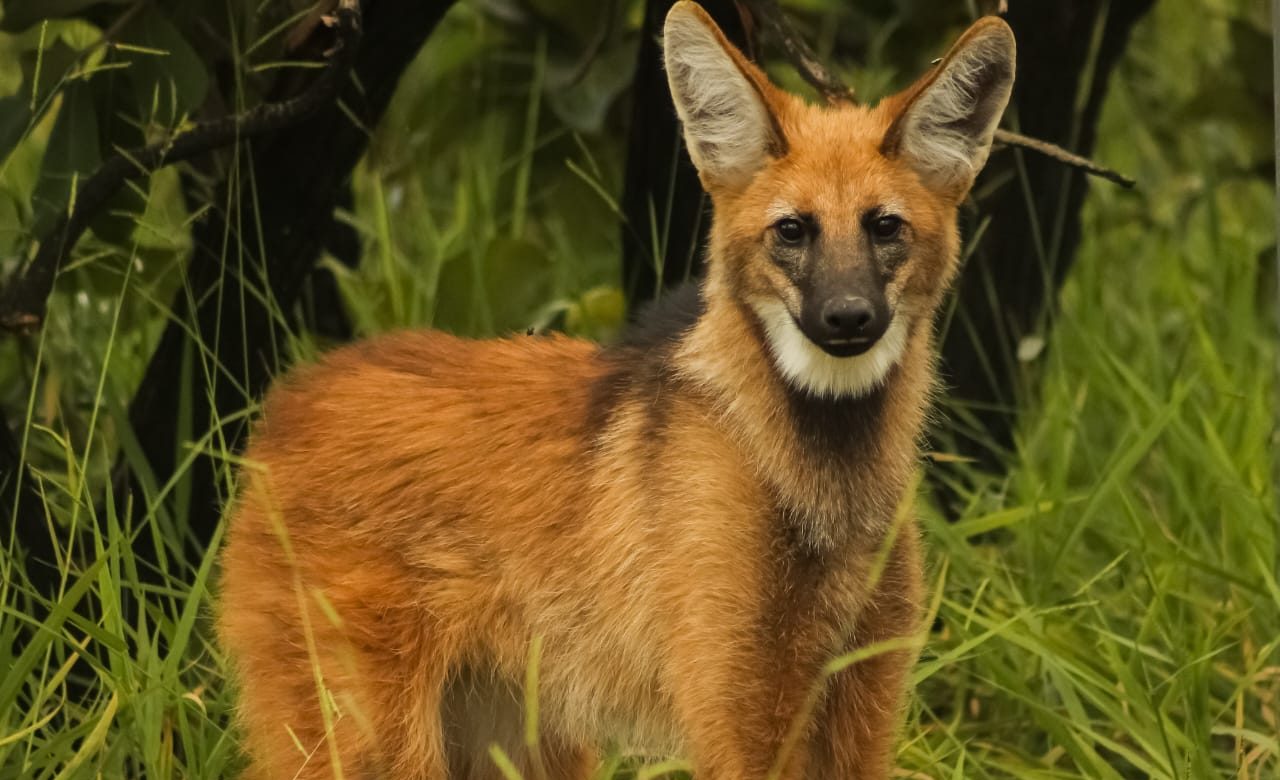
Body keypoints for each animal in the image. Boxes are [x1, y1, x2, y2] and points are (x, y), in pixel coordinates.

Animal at [222, 3, 1018, 773]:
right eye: (793, 231)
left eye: (885, 227)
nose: (847, 317)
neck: (823, 486)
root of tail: (293, 392)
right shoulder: (739, 698)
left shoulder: (861, 690)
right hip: (374, 742)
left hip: (519, 738)